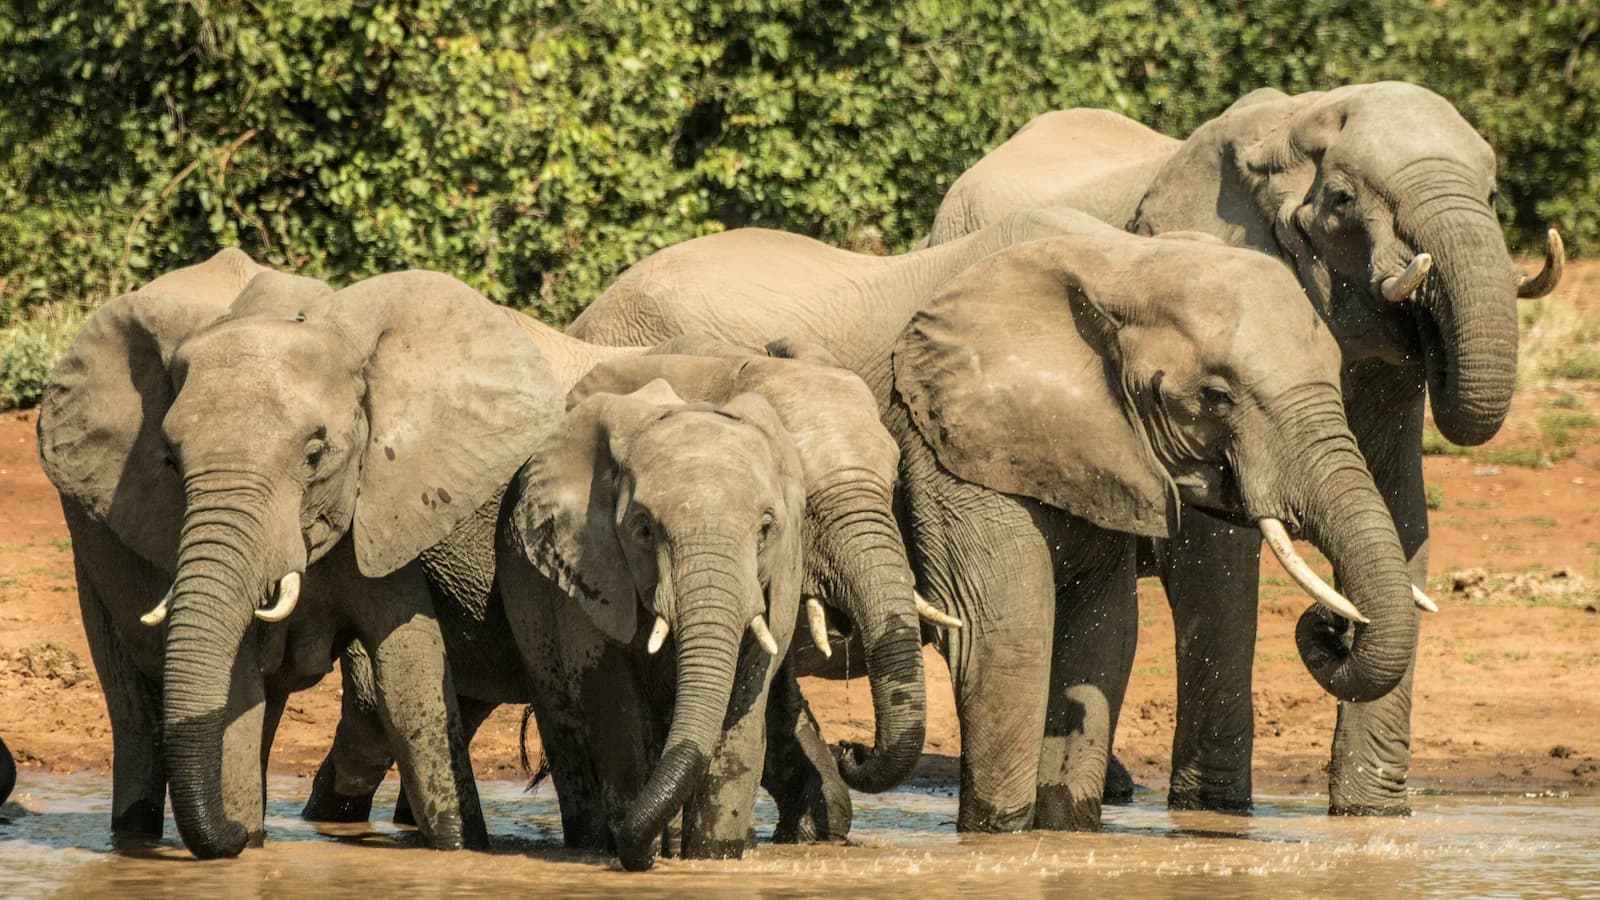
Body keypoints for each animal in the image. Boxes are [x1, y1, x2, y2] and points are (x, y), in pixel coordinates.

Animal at [38, 262, 563, 857]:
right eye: (169, 461)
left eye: (315, 454)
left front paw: (457, 849)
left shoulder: (381, 504)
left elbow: (410, 673)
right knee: (134, 712)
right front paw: (245, 842)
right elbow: (238, 687)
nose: (234, 834)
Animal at [567, 210, 1422, 833]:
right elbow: (1007, 628)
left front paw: (1066, 829)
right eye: (1214, 396)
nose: (1330, 626)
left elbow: (1103, 635)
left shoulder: (1095, 447)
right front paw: (999, 838)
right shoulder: (945, 440)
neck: (1120, 263)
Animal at [924, 81, 1564, 814]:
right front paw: (1216, 812)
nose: (1333, 626)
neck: (1291, 122)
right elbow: (1216, 558)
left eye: (1493, 194)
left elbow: (1404, 520)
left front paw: (1373, 814)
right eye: (1341, 199)